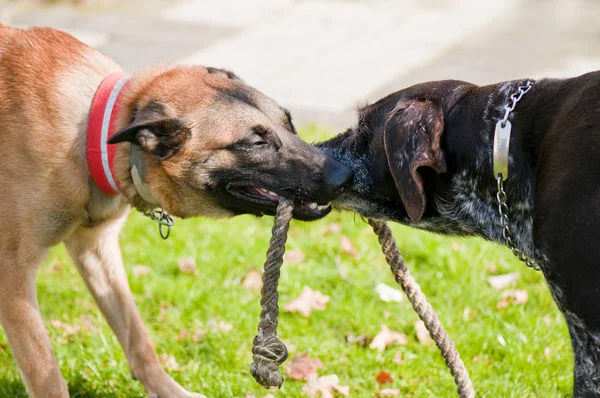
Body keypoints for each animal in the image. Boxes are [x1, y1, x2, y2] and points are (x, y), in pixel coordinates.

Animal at [0, 25, 352, 398]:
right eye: (256, 143)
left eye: (290, 124)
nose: (346, 177)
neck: (96, 133)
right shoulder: (13, 273)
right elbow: (46, 373)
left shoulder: (96, 249)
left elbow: (137, 336)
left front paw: (167, 389)